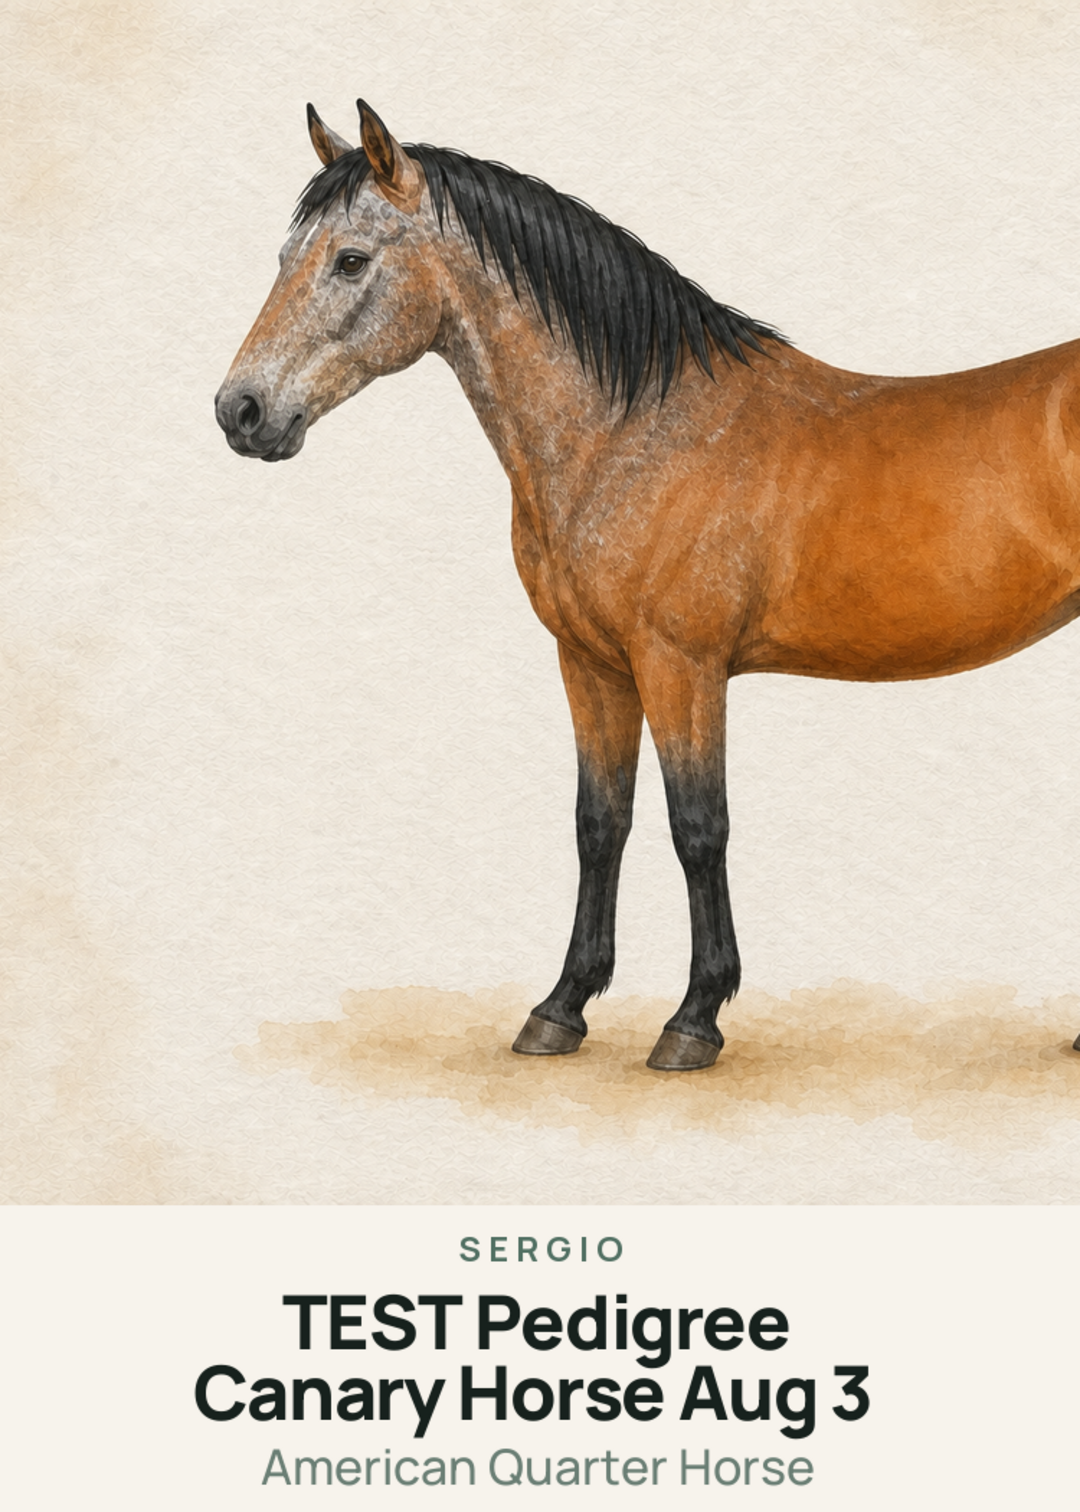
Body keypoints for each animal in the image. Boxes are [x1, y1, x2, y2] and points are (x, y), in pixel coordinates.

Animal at [216, 100, 1080, 1070]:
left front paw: (694, 1020)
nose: (241, 412)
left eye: (352, 259)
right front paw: (560, 1009)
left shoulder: (682, 667)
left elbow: (698, 829)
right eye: (284, 257)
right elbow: (601, 824)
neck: (636, 433)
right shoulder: (591, 664)